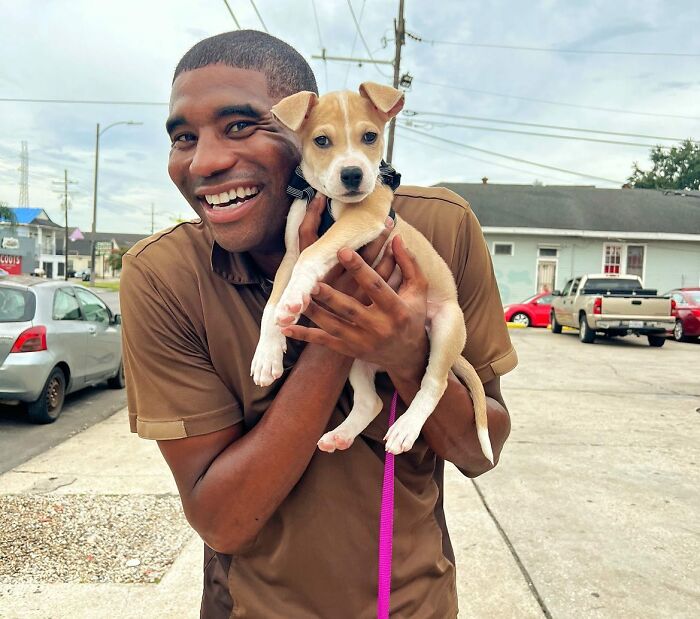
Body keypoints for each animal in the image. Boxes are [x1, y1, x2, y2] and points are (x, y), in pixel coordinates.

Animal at [252, 81, 492, 460]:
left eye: (370, 136)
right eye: (321, 141)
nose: (353, 174)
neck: (327, 199)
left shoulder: (362, 219)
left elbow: (315, 253)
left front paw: (292, 301)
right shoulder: (290, 254)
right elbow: (271, 305)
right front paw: (266, 355)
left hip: (446, 328)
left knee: (434, 383)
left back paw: (406, 428)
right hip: (357, 352)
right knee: (372, 402)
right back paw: (340, 436)